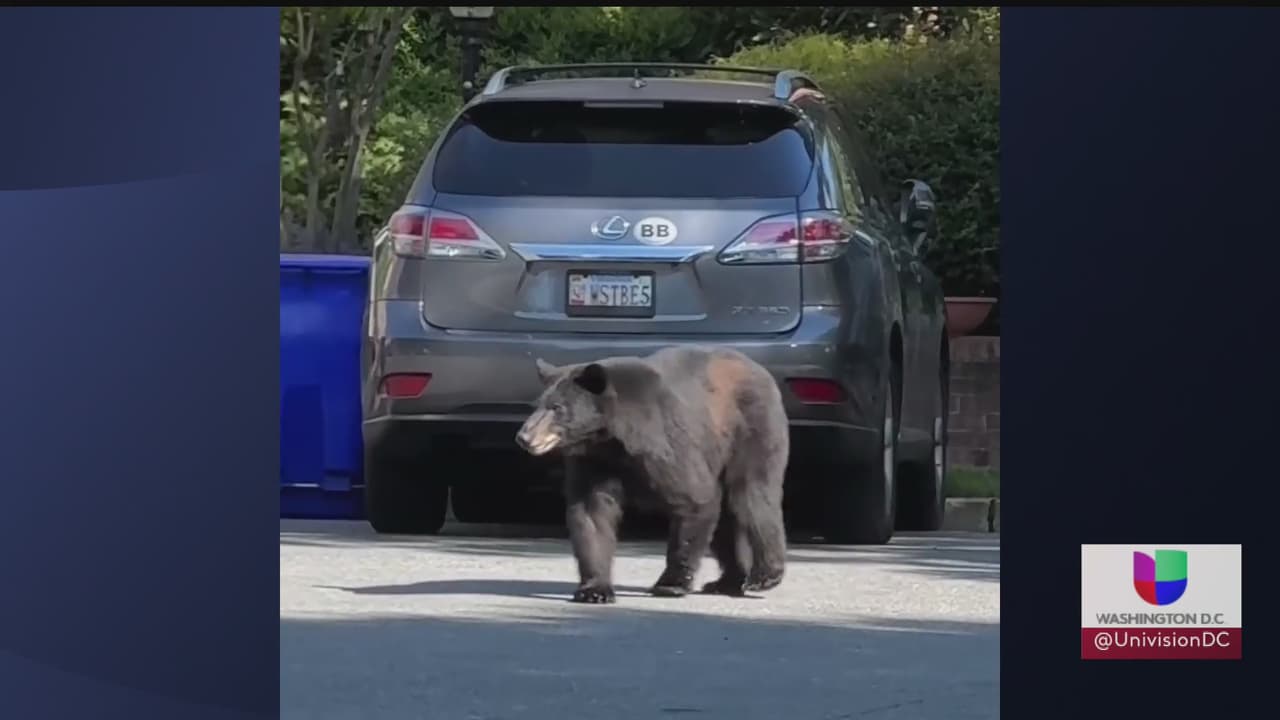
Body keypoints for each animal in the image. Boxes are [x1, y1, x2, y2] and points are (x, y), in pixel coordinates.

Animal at [514, 345, 789, 604]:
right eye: (536, 405)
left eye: (557, 407)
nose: (524, 437)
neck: (612, 438)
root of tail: (760, 369)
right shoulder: (593, 461)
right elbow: (591, 514)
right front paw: (594, 590)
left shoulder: (663, 445)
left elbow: (695, 498)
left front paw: (671, 583)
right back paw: (726, 582)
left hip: (751, 430)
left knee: (751, 497)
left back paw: (765, 576)